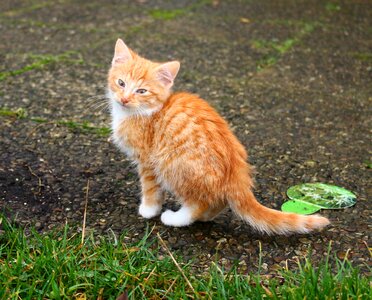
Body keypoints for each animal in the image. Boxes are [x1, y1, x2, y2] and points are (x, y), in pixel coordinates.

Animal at [107, 38, 328, 234]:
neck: (147, 112)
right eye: (121, 83)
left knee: (198, 203)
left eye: (142, 91)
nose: (124, 99)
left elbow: (151, 188)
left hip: (171, 164)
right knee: (217, 202)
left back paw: (176, 218)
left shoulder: (147, 161)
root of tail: (236, 173)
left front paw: (149, 209)